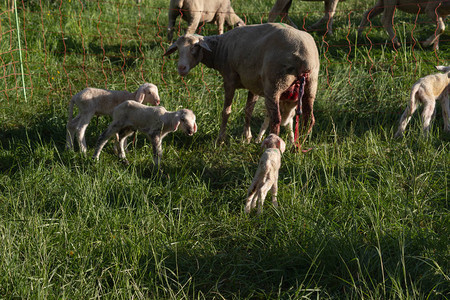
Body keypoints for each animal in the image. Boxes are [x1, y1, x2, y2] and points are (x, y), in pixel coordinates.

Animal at [163, 22, 322, 146]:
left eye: (195, 48)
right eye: (178, 49)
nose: (181, 68)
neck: (220, 48)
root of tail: (304, 56)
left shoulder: (229, 79)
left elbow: (226, 111)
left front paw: (220, 139)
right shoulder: (254, 84)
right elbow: (248, 110)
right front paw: (247, 138)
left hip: (275, 84)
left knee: (276, 119)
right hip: (311, 85)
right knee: (309, 118)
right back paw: (300, 145)